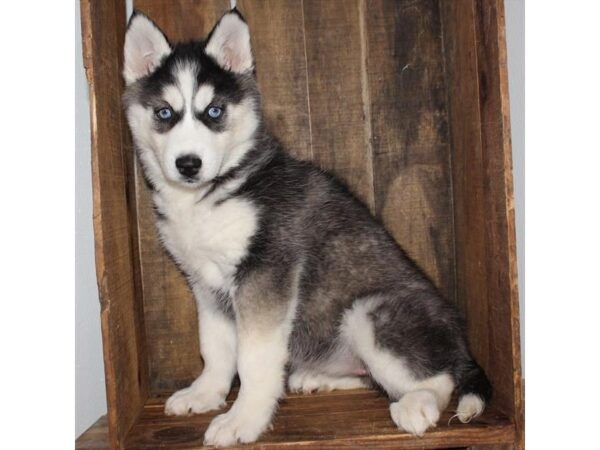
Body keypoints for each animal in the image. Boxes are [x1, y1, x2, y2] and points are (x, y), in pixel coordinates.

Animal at [123, 8, 492, 448]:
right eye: (164, 113)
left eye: (214, 111)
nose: (188, 164)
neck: (217, 192)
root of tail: (461, 342)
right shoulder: (205, 285)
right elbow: (214, 347)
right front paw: (206, 392)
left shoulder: (266, 273)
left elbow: (253, 359)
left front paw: (243, 418)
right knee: (373, 377)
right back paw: (318, 377)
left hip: (368, 311)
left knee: (441, 379)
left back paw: (417, 405)